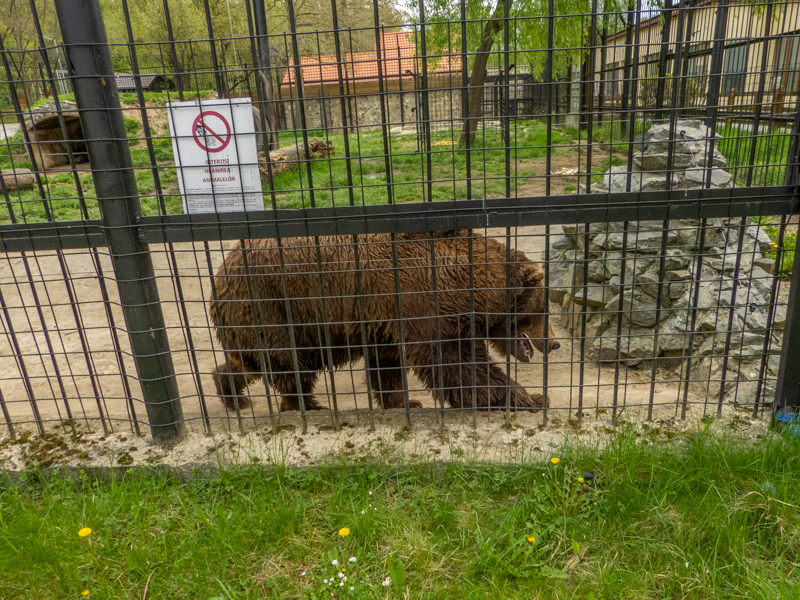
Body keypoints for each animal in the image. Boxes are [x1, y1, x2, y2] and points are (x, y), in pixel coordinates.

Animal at [209, 230, 560, 413]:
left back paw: (232, 394)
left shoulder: (386, 320)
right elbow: (455, 361)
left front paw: (405, 402)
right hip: (276, 307)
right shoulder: (422, 300)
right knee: (291, 363)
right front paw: (531, 398)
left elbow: (387, 366)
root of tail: (222, 269)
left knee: (252, 362)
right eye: (543, 310)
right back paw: (306, 406)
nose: (555, 343)